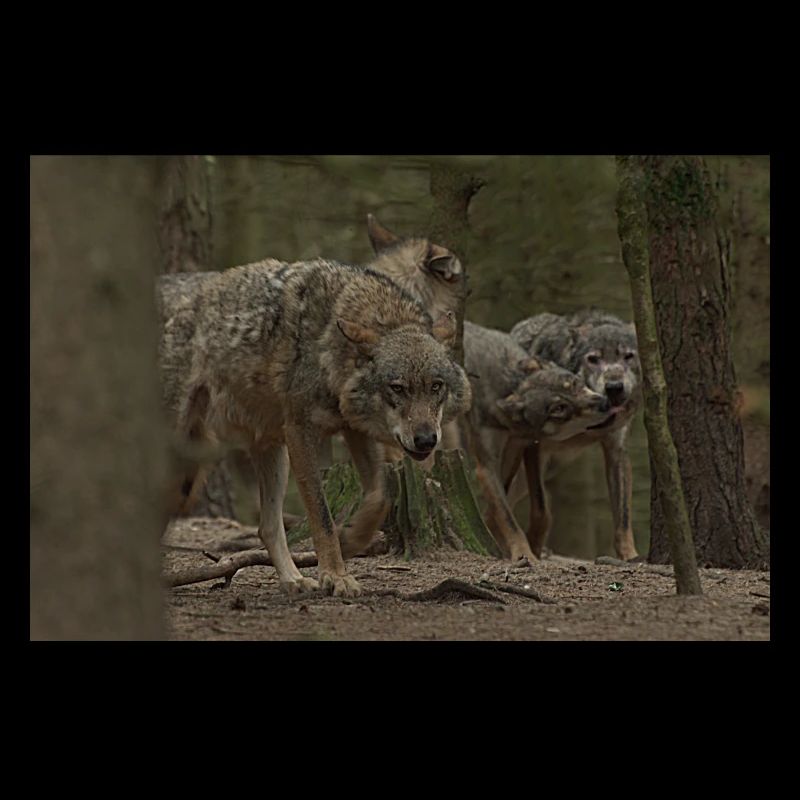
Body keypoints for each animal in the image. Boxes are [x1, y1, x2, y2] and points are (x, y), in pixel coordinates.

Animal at [159, 258, 471, 597]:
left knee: (267, 527)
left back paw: (293, 580)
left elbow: (380, 497)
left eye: (436, 386)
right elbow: (322, 517)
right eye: (397, 388)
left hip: (262, 456)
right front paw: (335, 576)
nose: (426, 440)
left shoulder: (355, 430)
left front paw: (351, 540)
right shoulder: (301, 433)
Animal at [457, 321, 611, 562]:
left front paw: (535, 546)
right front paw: (523, 553)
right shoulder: (486, 466)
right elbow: (507, 517)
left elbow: (540, 508)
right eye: (559, 409)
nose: (605, 403)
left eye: (574, 384)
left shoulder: (527, 446)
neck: (509, 387)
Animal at [503, 310, 642, 560]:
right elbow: (542, 510)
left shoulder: (616, 450)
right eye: (593, 359)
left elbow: (624, 517)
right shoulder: (535, 448)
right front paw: (534, 548)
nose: (614, 387)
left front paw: (629, 556)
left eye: (628, 356)